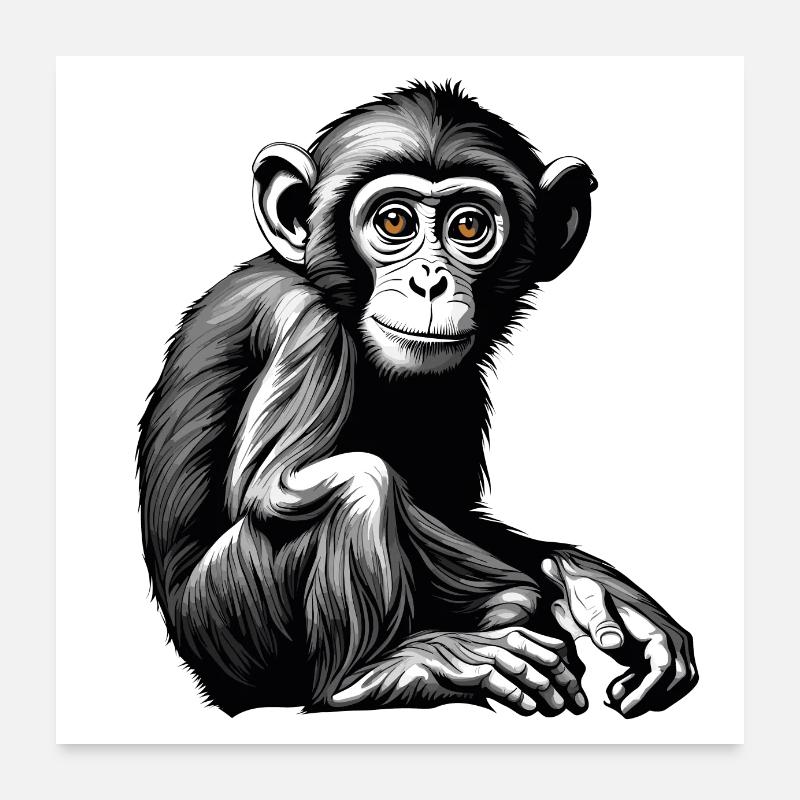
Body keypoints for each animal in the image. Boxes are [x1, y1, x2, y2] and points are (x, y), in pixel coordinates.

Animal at [138, 82, 697, 719]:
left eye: (469, 226)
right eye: (395, 221)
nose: (429, 280)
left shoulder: (459, 382)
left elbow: (449, 503)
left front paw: (590, 586)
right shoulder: (303, 322)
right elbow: (274, 487)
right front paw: (512, 602)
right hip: (233, 621)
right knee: (357, 483)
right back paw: (382, 672)